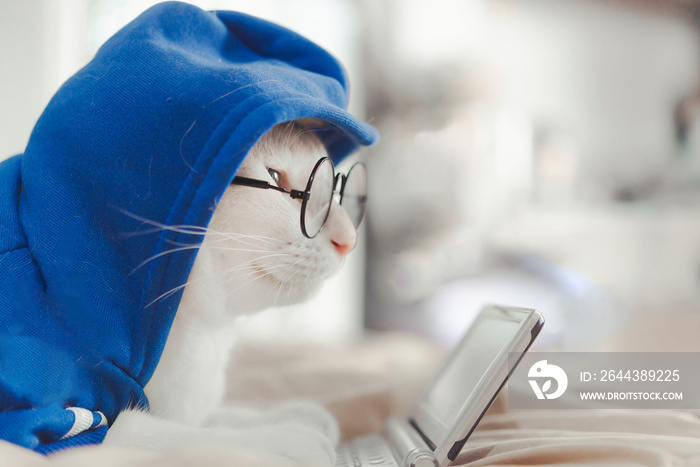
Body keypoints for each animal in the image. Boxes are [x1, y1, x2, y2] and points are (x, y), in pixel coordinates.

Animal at [105, 122, 360, 466]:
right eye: (275, 177)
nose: (350, 239)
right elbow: (162, 433)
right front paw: (283, 439)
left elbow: (210, 417)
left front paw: (291, 415)